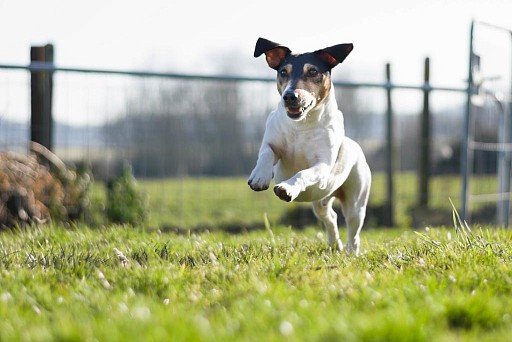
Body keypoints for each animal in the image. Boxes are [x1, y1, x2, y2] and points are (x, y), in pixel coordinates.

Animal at [249, 38, 372, 255]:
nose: (290, 96)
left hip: (356, 201)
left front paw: (287, 188)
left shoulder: (321, 167)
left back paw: (351, 253)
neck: (302, 125)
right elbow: (266, 153)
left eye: (313, 71)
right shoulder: (272, 142)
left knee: (353, 229)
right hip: (321, 202)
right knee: (330, 216)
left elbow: (303, 173)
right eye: (283, 72)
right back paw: (334, 244)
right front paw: (259, 176)